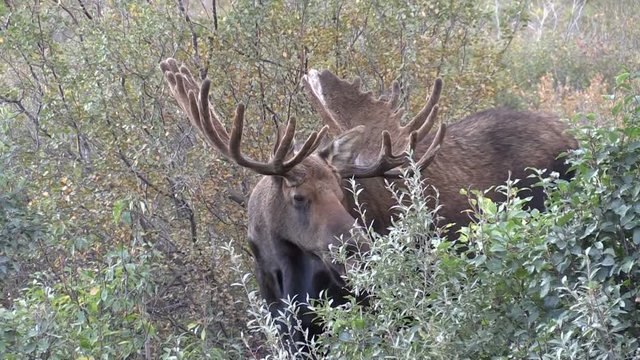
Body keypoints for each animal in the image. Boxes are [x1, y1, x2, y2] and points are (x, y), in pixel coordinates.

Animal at [161, 57, 580, 348]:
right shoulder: (285, 327)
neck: (282, 272)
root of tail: (574, 137)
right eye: (299, 196)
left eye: (342, 190)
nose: (359, 248)